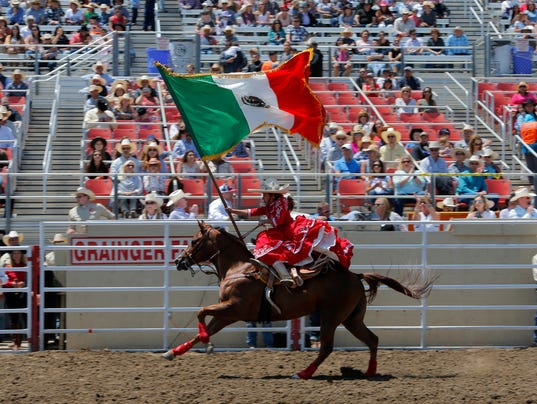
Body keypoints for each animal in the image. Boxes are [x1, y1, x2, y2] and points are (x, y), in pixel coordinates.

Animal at [161, 221, 434, 378]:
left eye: (194, 240)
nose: (179, 260)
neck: (239, 268)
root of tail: (356, 276)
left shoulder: (233, 309)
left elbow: (201, 313)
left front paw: (205, 343)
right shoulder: (227, 314)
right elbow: (203, 328)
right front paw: (173, 352)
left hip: (331, 317)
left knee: (326, 347)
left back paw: (303, 373)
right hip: (352, 319)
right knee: (372, 339)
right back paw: (370, 372)